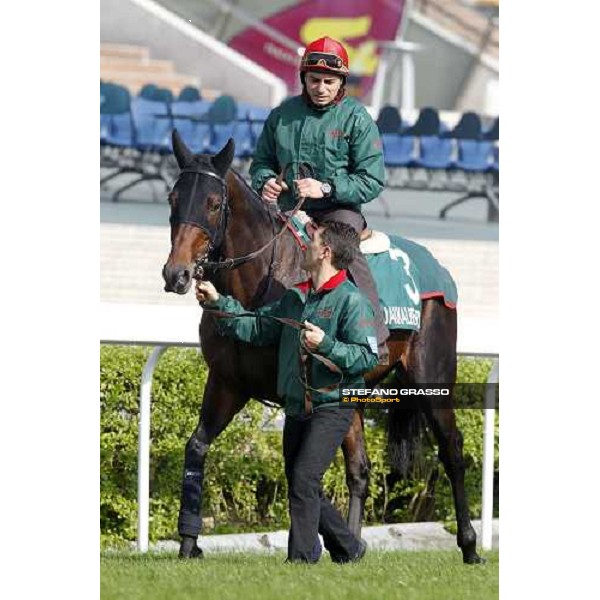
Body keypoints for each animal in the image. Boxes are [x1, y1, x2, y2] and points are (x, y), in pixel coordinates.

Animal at [159, 130, 482, 564]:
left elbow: (297, 466)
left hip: (433, 378)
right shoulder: (227, 383)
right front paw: (189, 542)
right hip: (354, 392)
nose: (175, 274)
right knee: (359, 469)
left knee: (452, 450)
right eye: (173, 199)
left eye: (212, 203)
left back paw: (469, 545)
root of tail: (438, 268)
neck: (260, 282)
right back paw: (353, 544)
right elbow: (197, 447)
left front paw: (305, 545)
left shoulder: (293, 392)